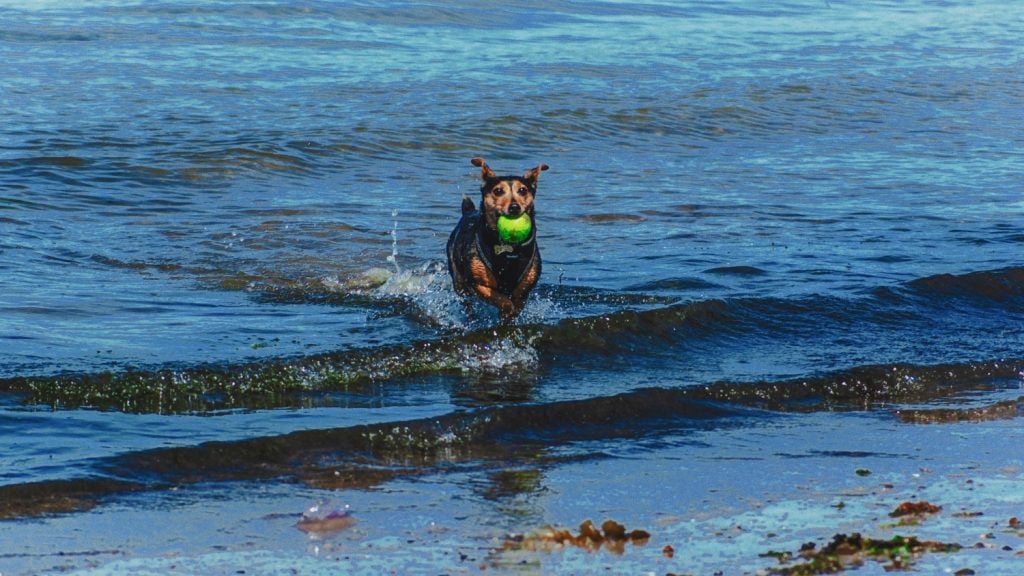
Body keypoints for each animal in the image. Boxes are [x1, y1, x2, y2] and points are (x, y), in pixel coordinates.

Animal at [444, 154, 548, 319]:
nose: (514, 207)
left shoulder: (523, 290)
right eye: (498, 191)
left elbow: (516, 302)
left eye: (523, 190)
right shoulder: (478, 283)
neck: (509, 249)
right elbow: (502, 300)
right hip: (458, 280)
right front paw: (507, 308)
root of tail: (468, 211)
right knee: (466, 300)